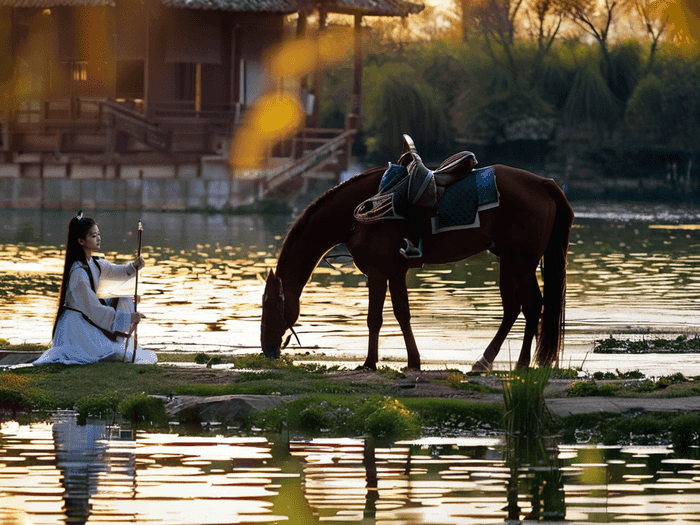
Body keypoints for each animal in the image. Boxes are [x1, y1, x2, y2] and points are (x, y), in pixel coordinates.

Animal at [260, 149, 572, 368]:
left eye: (271, 304)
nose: (266, 348)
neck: (357, 212)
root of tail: (544, 183)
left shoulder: (377, 272)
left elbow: (374, 318)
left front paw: (369, 363)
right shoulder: (396, 272)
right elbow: (402, 314)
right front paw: (413, 361)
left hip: (522, 262)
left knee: (531, 306)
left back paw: (519, 363)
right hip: (510, 260)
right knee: (514, 308)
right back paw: (486, 361)